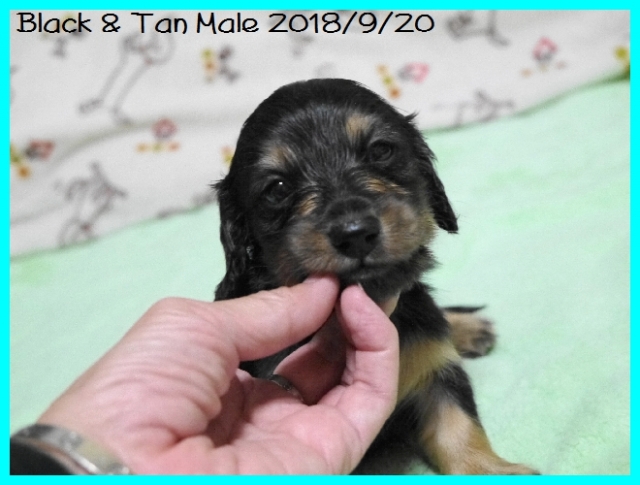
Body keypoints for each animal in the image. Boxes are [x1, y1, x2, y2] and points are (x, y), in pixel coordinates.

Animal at [214, 78, 537, 474]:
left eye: (381, 150)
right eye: (277, 188)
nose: (355, 234)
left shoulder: (435, 365)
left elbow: (459, 426)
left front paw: (488, 469)